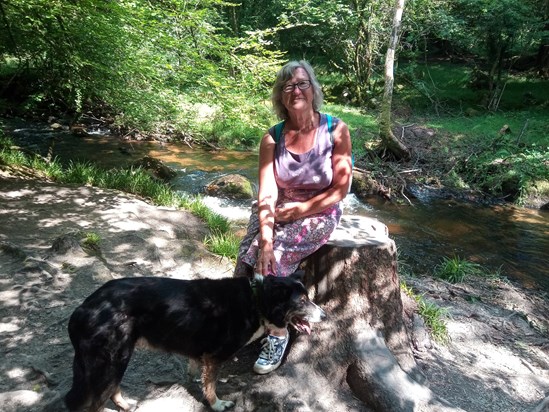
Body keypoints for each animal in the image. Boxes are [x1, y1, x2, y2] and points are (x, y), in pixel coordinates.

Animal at [65, 272, 326, 410]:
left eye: (308, 298)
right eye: (302, 301)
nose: (325, 315)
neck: (257, 300)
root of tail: (83, 308)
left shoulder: (201, 352)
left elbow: (197, 371)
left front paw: (192, 380)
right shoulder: (215, 356)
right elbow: (211, 384)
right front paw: (217, 404)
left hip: (115, 359)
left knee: (111, 388)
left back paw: (126, 404)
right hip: (112, 359)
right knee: (98, 399)